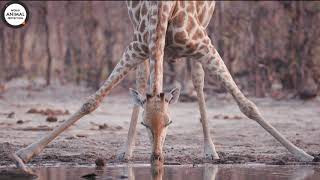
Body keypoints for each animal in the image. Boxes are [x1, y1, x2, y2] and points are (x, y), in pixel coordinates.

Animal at [11, 0, 312, 173]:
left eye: (170, 122)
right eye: (146, 124)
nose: (156, 157)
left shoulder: (204, 44)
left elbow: (247, 105)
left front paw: (303, 154)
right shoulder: (136, 45)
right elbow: (91, 101)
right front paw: (24, 154)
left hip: (202, 32)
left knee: (198, 80)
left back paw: (210, 150)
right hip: (144, 46)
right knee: (141, 81)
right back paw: (126, 151)